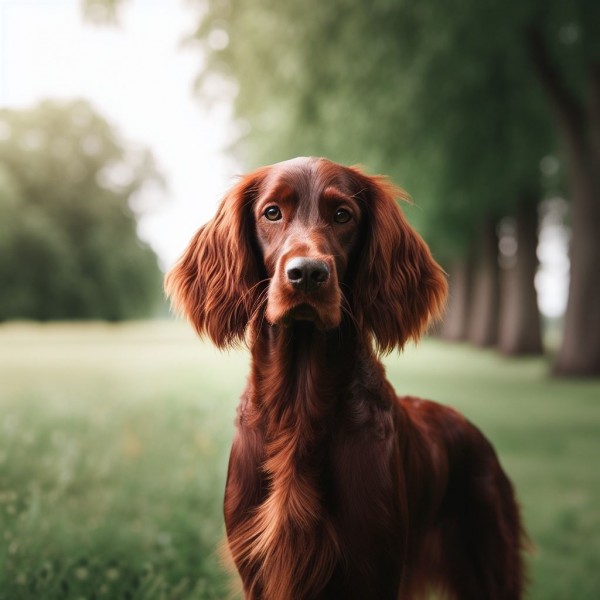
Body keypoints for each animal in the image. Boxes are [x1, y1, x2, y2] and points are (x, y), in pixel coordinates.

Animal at [165, 157, 524, 596]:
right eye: (272, 212)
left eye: (342, 215)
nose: (307, 273)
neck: (299, 411)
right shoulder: (259, 572)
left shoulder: (375, 569)